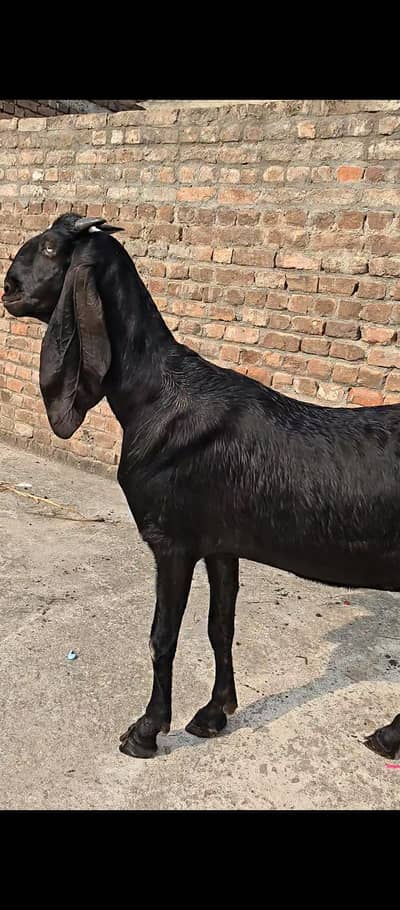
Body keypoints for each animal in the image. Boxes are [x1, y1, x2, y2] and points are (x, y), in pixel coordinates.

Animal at [3, 212, 399, 761]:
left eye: (49, 248)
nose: (9, 288)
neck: (155, 398)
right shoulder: (220, 543)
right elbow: (220, 626)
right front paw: (215, 712)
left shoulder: (173, 541)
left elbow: (163, 636)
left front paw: (146, 730)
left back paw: (389, 736)